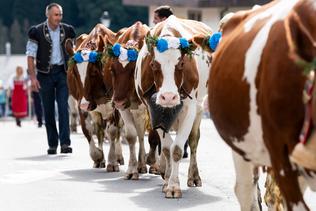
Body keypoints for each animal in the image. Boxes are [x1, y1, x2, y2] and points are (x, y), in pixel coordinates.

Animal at [65, 23, 124, 171]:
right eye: (74, 73)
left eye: (93, 71)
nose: (85, 104)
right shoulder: (81, 103)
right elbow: (87, 130)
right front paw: (98, 156)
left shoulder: (114, 105)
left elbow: (113, 131)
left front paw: (112, 161)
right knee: (99, 130)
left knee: (118, 129)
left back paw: (119, 156)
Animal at [135, 15, 212, 198]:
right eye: (154, 64)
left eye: (181, 64)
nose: (169, 96)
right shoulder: (154, 110)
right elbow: (167, 148)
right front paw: (168, 181)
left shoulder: (190, 108)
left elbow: (177, 148)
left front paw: (173, 186)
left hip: (199, 109)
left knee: (193, 141)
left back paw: (193, 176)